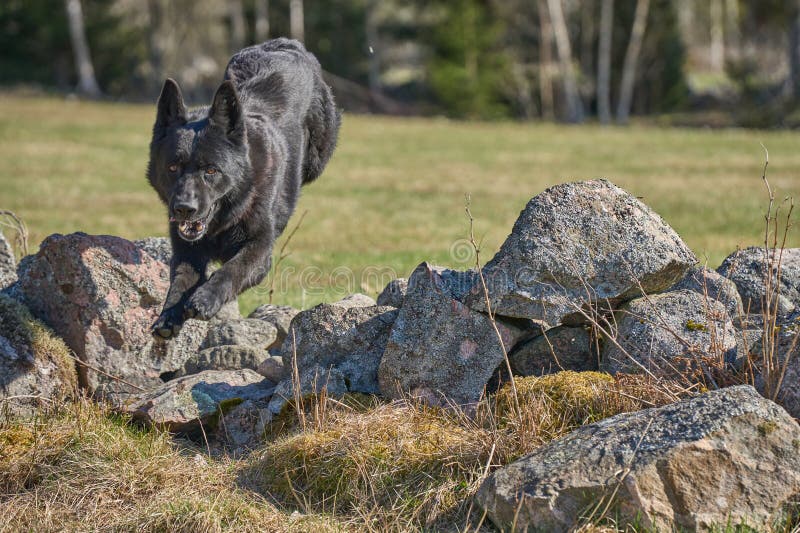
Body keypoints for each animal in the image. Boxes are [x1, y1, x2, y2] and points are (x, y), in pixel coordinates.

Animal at [148, 39, 340, 336]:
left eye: (211, 170)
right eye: (172, 168)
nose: (184, 209)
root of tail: (286, 43)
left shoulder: (260, 251)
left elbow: (231, 269)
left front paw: (206, 297)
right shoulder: (186, 251)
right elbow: (179, 281)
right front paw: (167, 316)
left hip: (318, 157)